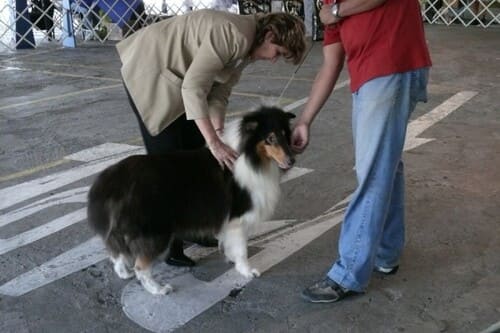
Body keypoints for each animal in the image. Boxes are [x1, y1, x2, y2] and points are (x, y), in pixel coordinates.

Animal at [87, 105, 296, 294]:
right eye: (270, 138)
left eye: (285, 134)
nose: (292, 161)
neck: (250, 157)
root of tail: (111, 180)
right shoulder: (237, 218)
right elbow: (242, 249)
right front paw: (247, 271)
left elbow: (230, 244)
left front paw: (230, 258)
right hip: (155, 230)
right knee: (141, 266)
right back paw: (159, 289)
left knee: (116, 253)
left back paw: (124, 273)